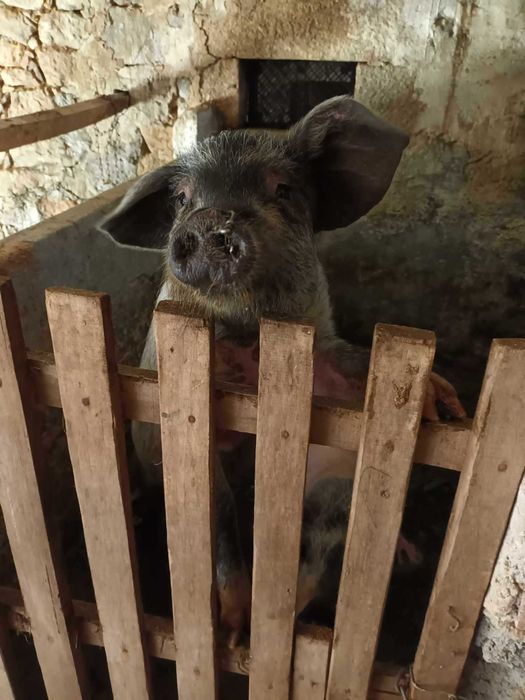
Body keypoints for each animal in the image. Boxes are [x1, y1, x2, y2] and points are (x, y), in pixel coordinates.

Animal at [100, 95, 465, 647]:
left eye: (282, 189)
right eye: (183, 198)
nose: (212, 218)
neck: (253, 337)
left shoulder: (325, 352)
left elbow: (354, 360)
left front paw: (444, 406)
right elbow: (220, 522)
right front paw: (233, 635)